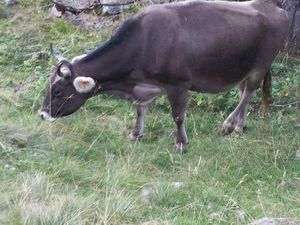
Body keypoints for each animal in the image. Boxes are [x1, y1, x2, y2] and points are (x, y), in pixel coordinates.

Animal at [38, 0, 288, 153]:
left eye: (57, 90)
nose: (42, 114)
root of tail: (272, 6)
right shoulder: (143, 86)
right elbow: (140, 110)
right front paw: (135, 134)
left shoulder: (178, 85)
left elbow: (178, 116)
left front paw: (181, 144)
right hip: (246, 68)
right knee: (245, 92)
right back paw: (239, 125)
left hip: (261, 64)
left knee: (248, 93)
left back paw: (228, 125)